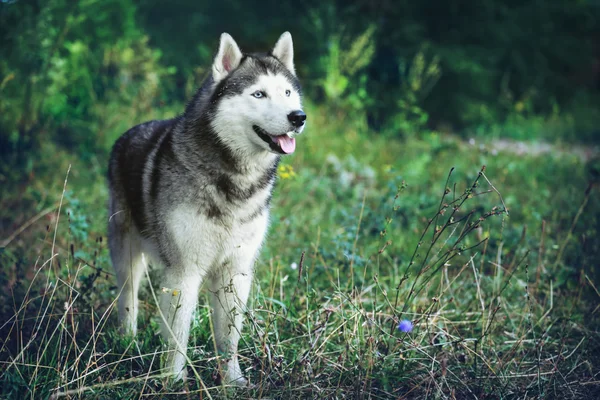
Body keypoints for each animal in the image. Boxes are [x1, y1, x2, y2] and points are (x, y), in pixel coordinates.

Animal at [106, 32, 304, 386]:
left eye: (287, 92)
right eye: (259, 94)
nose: (298, 117)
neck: (235, 182)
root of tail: (129, 132)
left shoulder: (235, 272)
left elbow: (229, 337)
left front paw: (232, 380)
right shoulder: (184, 272)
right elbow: (178, 335)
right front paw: (174, 380)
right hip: (126, 256)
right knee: (128, 297)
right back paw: (127, 341)